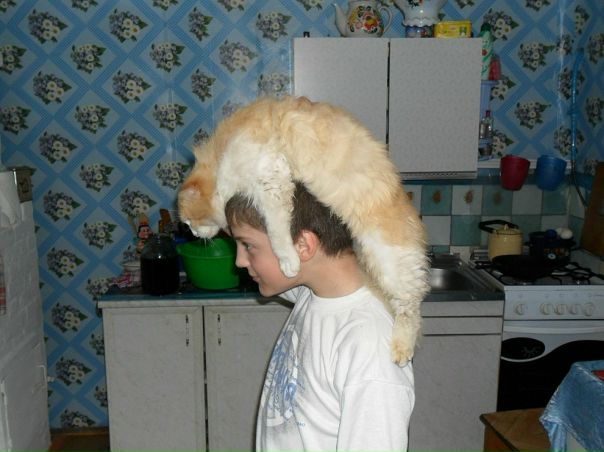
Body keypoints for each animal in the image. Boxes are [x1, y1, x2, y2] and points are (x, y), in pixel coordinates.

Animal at [178, 96, 429, 364]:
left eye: (189, 223)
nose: (193, 234)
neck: (221, 155)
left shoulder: (270, 179)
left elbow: (277, 233)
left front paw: (289, 262)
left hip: (389, 259)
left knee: (411, 306)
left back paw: (402, 348)